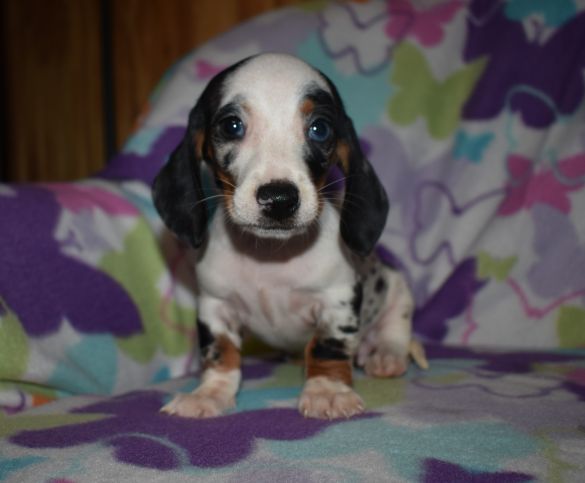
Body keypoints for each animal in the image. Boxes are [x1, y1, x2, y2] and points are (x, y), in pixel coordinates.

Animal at [152, 53, 427, 420]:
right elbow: (221, 355)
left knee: (398, 323)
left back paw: (386, 353)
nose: (279, 199)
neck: (271, 257)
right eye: (231, 126)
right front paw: (210, 393)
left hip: (396, 287)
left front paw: (327, 390)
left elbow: (327, 349)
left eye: (320, 128)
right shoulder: (215, 306)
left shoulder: (336, 301)